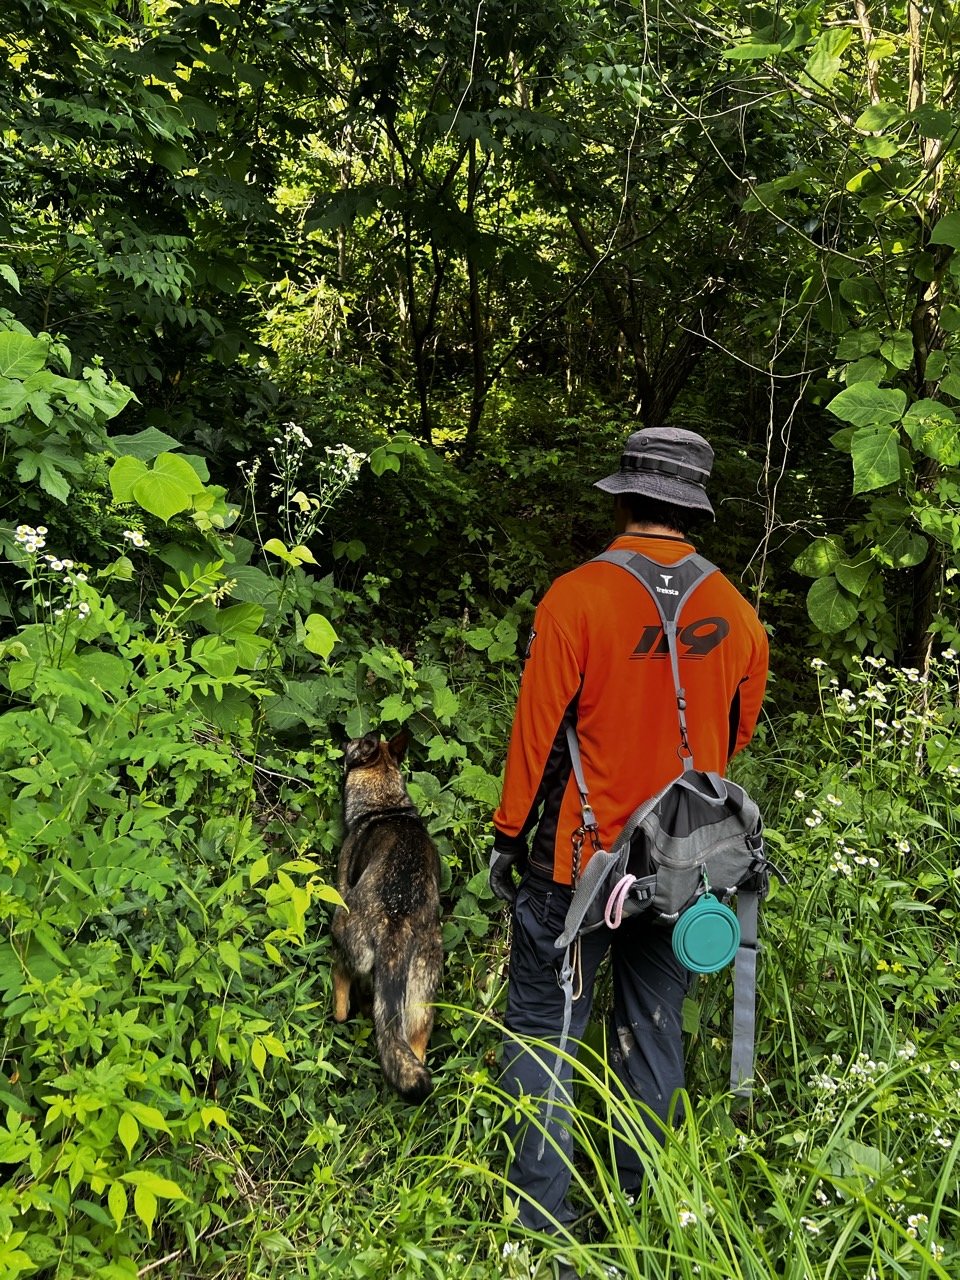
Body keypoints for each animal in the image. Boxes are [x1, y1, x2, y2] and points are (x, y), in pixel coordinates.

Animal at [330, 732, 442, 1100]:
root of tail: (397, 924)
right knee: (413, 1042)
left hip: (346, 930)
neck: (385, 804)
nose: (340, 738)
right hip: (421, 992)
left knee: (341, 986)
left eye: (350, 744)